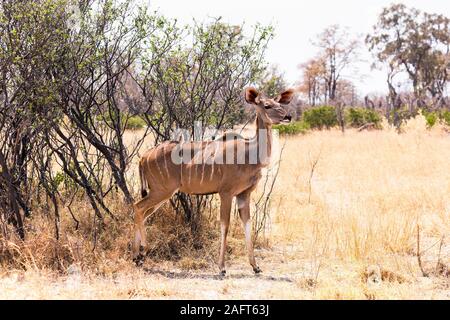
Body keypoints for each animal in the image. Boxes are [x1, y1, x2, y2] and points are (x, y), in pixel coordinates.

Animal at [133, 87, 296, 276]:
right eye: (267, 105)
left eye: (280, 104)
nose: (288, 116)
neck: (250, 153)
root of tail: (143, 157)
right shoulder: (226, 193)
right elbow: (225, 225)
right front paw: (222, 267)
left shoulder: (243, 194)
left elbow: (247, 224)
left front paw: (255, 267)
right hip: (161, 191)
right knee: (138, 207)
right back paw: (142, 251)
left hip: (161, 194)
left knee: (142, 212)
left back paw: (137, 257)